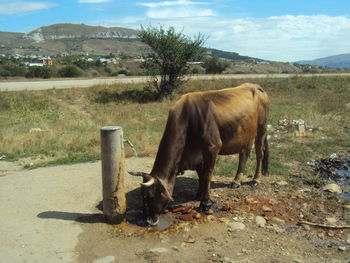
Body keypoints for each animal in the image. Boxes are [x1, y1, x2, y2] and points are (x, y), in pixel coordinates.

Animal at [130, 83, 270, 226]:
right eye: (142, 196)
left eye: (151, 196)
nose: (146, 220)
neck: (187, 119)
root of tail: (255, 86)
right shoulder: (197, 156)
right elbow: (201, 175)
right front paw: (199, 193)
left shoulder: (212, 148)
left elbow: (207, 175)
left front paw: (205, 203)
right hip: (245, 137)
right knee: (244, 156)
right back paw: (236, 181)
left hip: (261, 128)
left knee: (259, 153)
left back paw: (256, 180)